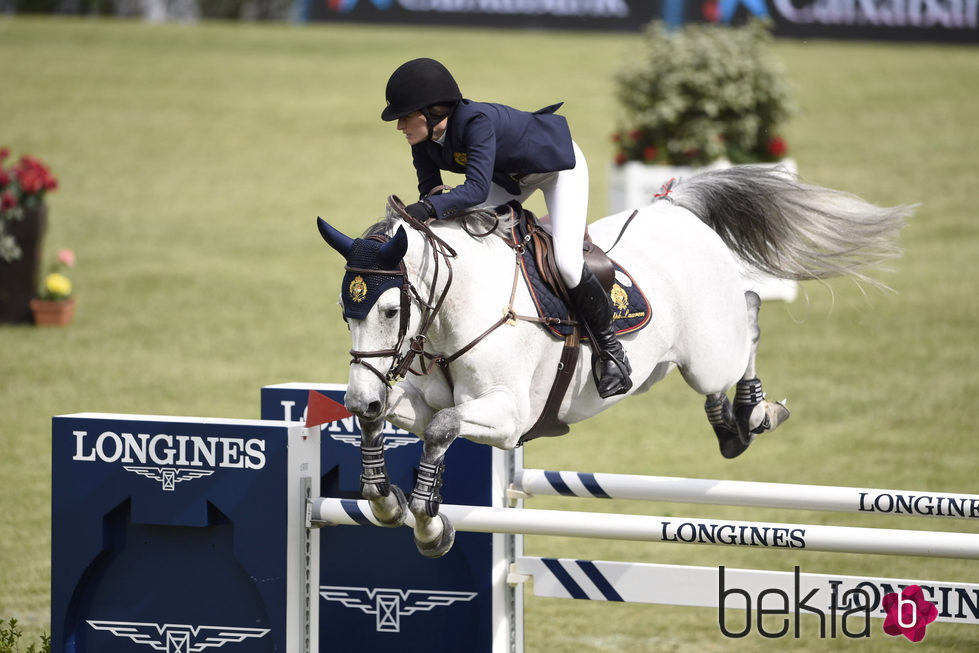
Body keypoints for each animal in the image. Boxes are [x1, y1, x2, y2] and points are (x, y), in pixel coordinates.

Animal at [318, 166, 916, 556]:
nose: (357, 397)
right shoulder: (414, 397)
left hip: (709, 352)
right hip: (668, 364)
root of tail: (673, 209)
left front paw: (427, 525)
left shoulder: (509, 418)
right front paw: (387, 500)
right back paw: (727, 425)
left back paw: (754, 413)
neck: (457, 311)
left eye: (390, 310)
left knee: (748, 316)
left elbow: (444, 426)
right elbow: (401, 420)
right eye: (346, 315)